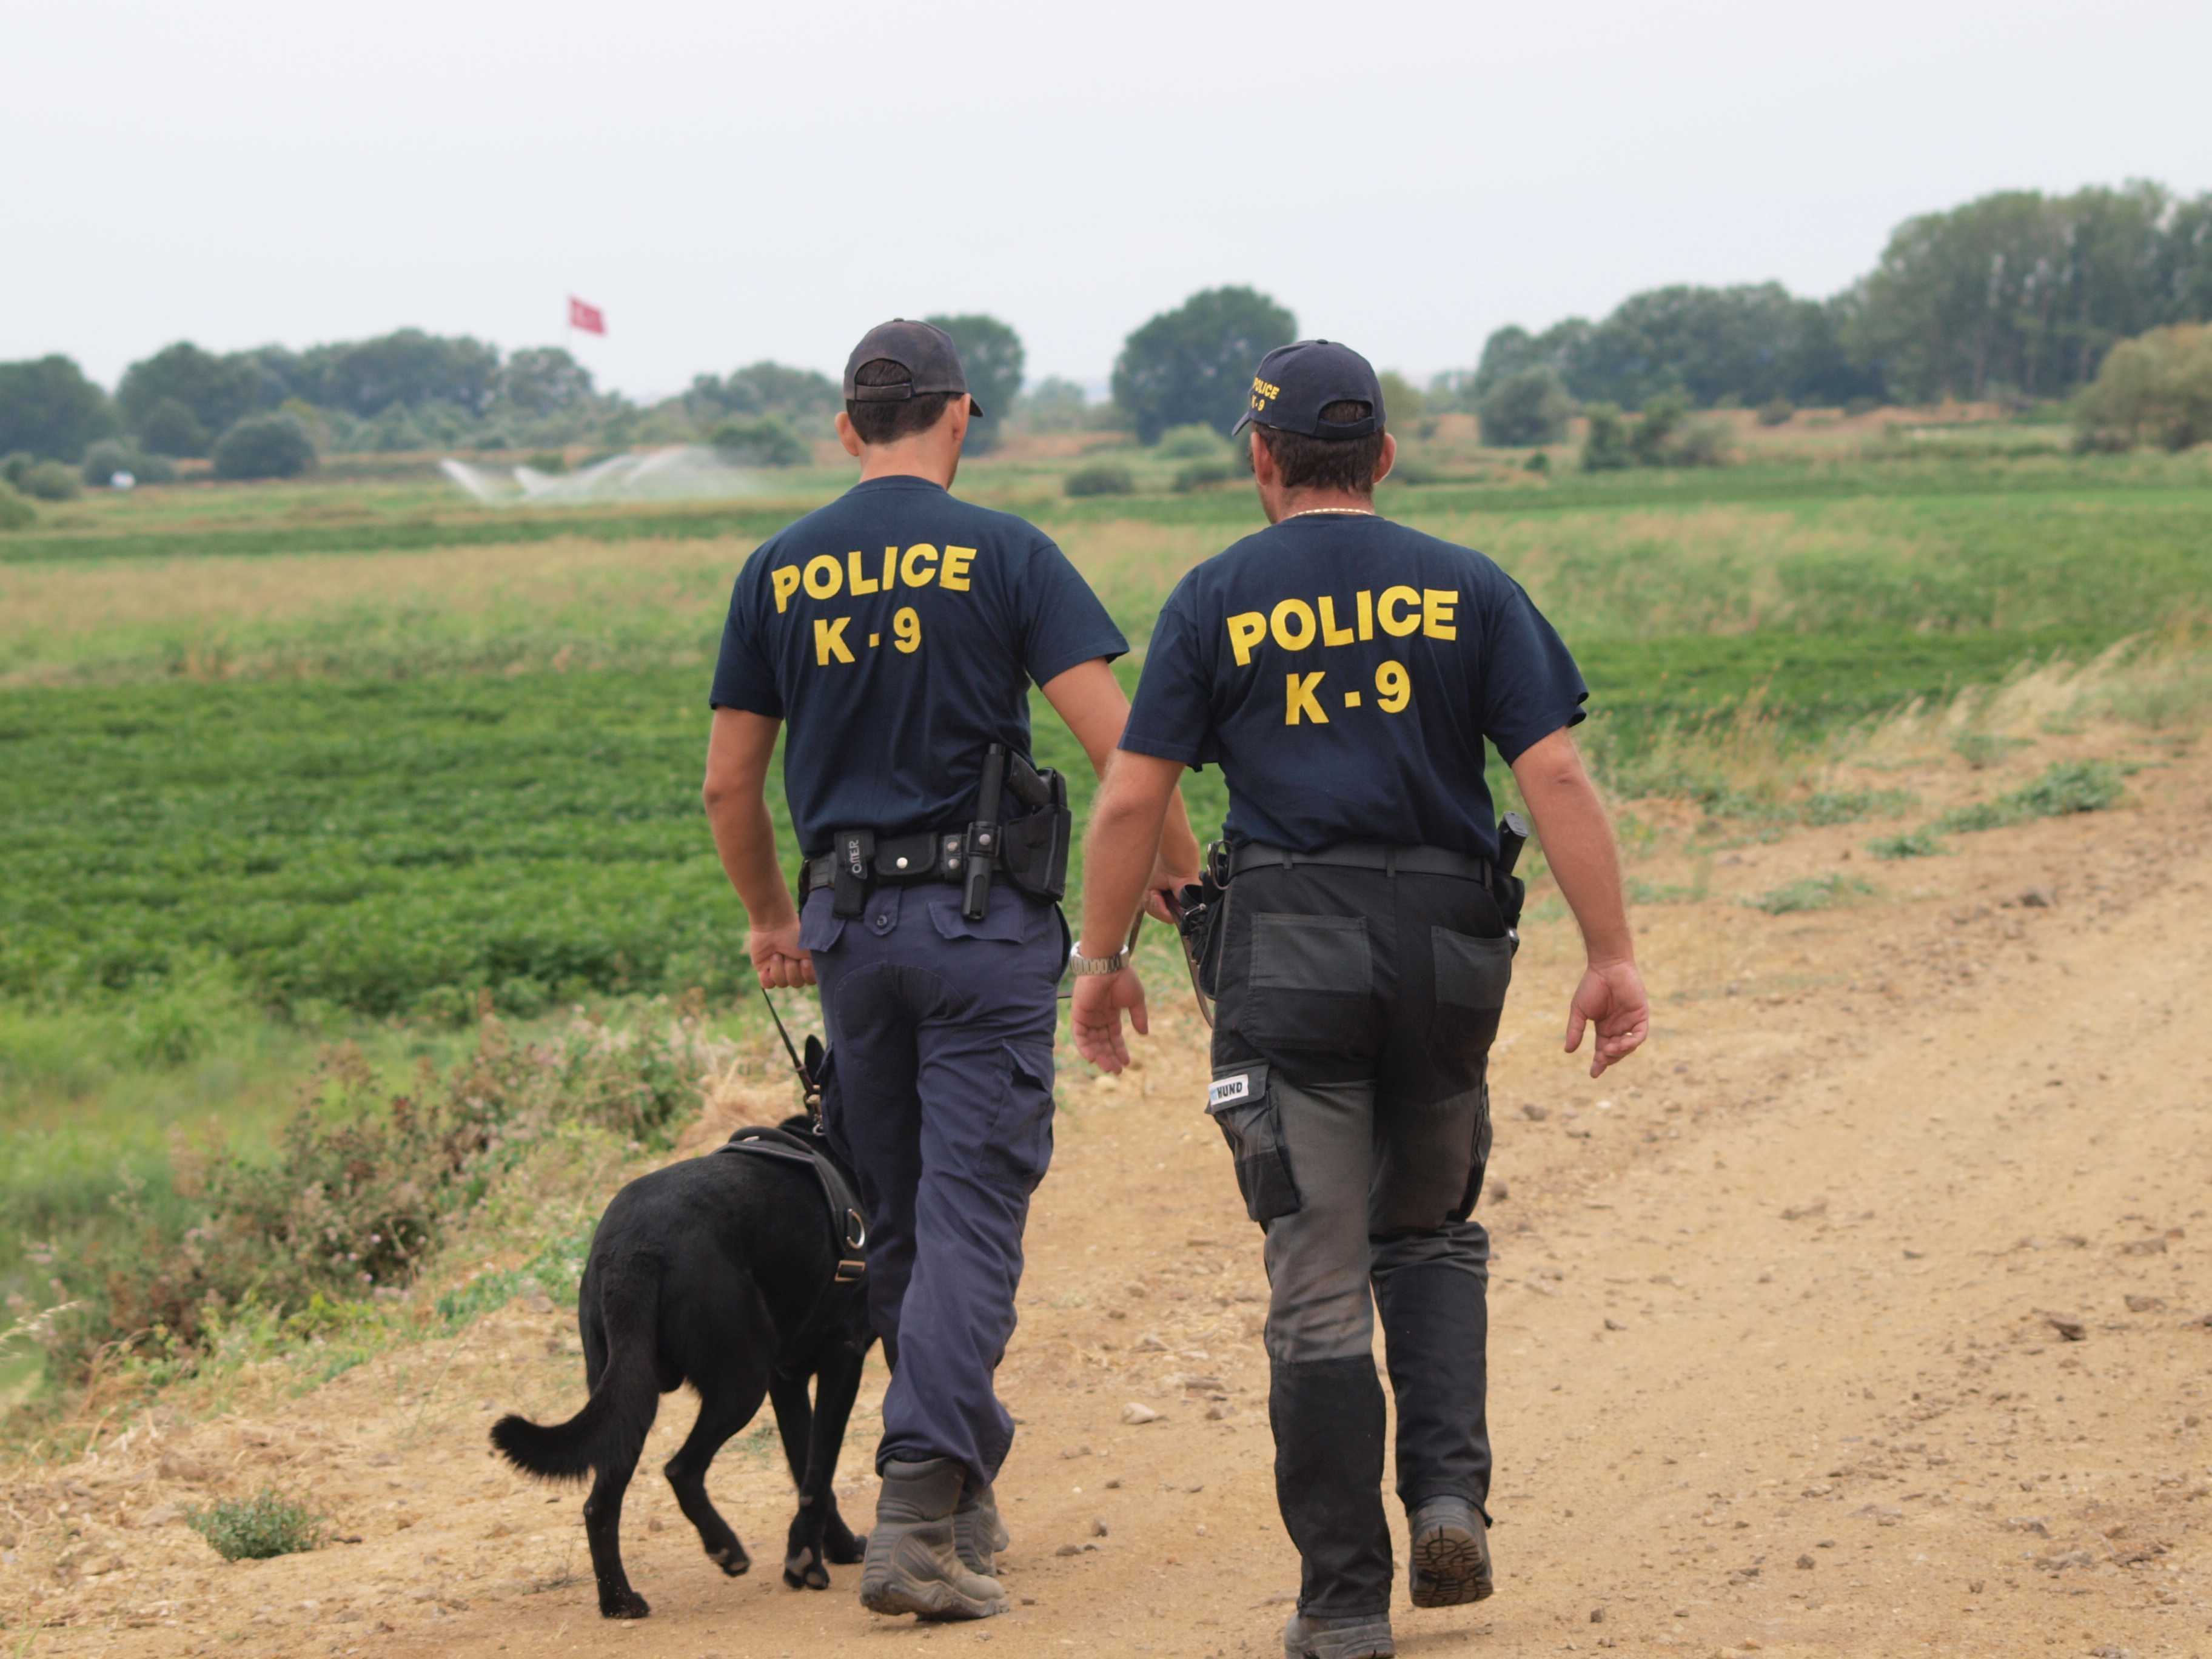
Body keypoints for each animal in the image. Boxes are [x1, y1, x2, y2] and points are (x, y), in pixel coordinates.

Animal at [493, 1093, 871, 1627]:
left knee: (599, 1505)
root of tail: (631, 1250)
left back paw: (620, 1601)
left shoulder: (788, 1380)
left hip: (629, 1395)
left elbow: (809, 1470)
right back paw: (725, 1549)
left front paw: (824, 1550)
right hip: (740, 1383)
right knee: (680, 1469)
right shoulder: (842, 1359)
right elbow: (820, 1471)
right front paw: (812, 1561)